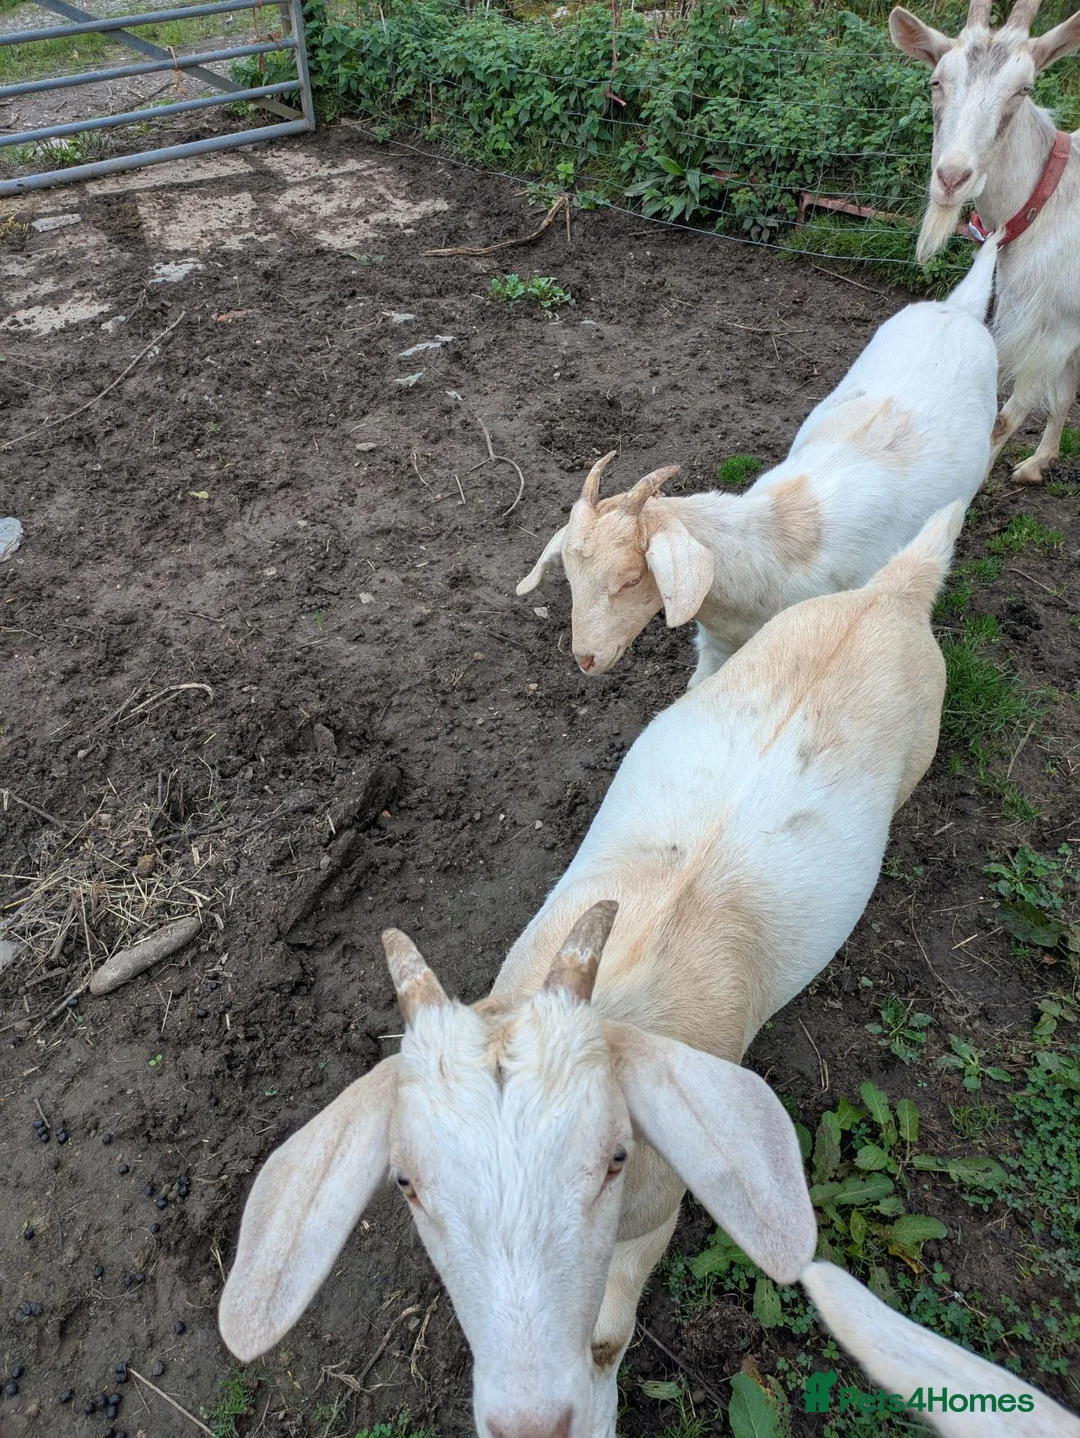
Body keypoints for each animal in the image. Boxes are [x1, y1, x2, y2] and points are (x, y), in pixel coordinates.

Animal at [218, 503, 964, 1438]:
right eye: (406, 1183)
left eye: (614, 1157)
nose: (530, 1421)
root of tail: (893, 594)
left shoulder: (657, 1211)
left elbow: (608, 1332)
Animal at [517, 237, 998, 685]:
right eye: (570, 577)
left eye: (633, 579)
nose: (585, 658)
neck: (771, 549)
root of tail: (960, 309)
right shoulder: (716, 648)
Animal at [890, 0, 1080, 485]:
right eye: (936, 80)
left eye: (1023, 89)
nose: (952, 178)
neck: (1048, 203)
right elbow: (1065, 392)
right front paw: (1039, 463)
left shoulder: (1054, 329)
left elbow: (1005, 419)